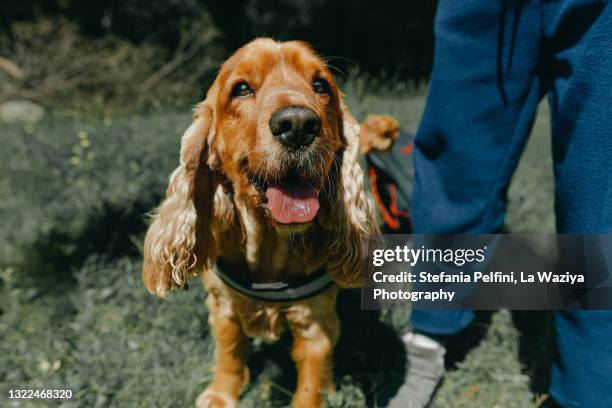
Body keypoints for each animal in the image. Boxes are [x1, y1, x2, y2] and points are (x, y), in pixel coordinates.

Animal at [144, 39, 380, 408]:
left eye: (320, 85)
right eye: (241, 89)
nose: (298, 124)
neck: (270, 243)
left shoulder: (316, 324)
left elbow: (311, 382)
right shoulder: (223, 306)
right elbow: (229, 353)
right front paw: (221, 395)